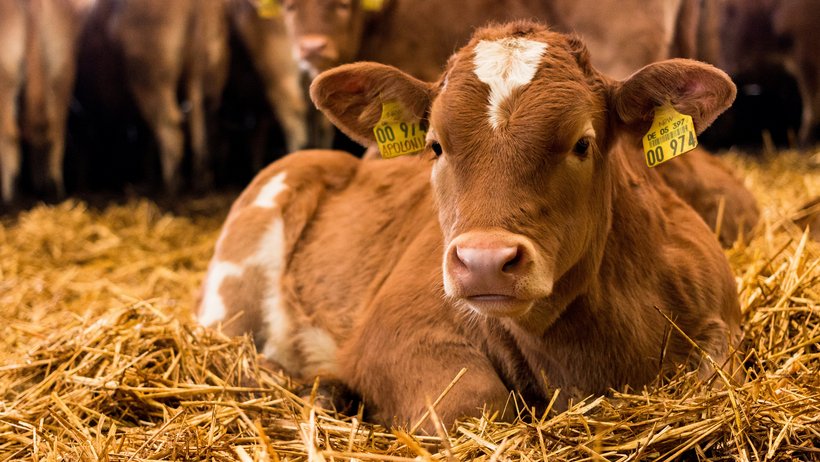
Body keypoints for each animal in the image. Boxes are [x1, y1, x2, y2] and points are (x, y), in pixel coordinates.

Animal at [198, 22, 742, 430]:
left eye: (582, 143)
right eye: (435, 145)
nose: (484, 261)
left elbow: (716, 372)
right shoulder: (394, 330)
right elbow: (474, 405)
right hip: (230, 296)